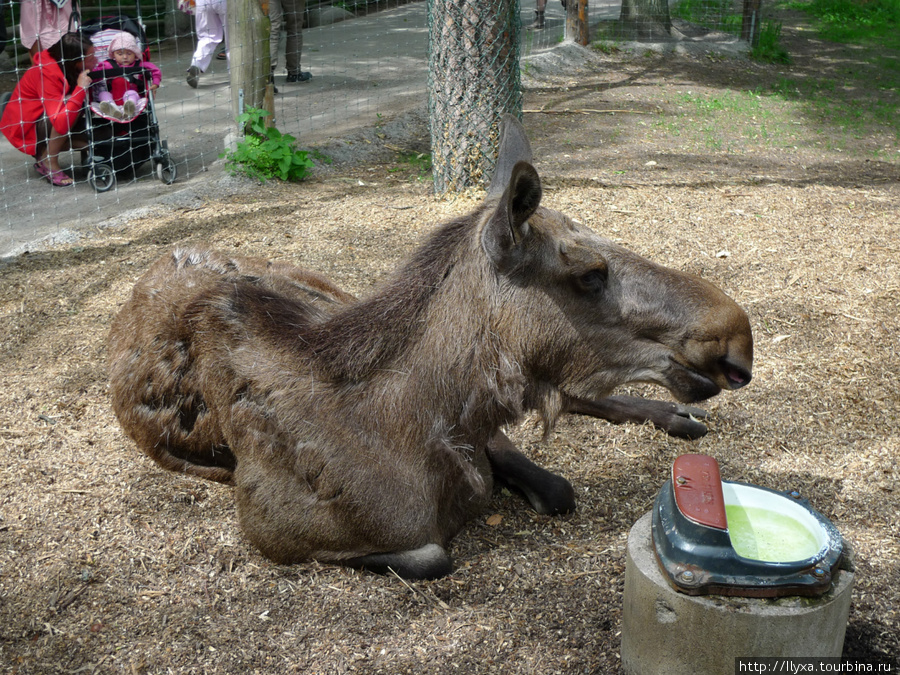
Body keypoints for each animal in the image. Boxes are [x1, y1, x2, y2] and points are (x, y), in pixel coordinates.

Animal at [107, 116, 752, 580]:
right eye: (590, 274)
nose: (735, 339)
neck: (420, 424)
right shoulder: (272, 532)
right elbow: (434, 552)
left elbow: (551, 482)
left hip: (329, 289)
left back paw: (675, 415)